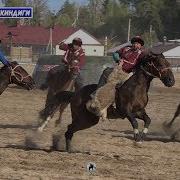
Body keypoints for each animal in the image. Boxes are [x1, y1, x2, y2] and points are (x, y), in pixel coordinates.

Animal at [39, 52, 176, 152]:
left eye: (168, 63)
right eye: (159, 64)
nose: (171, 81)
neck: (136, 87)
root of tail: (75, 94)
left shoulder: (139, 111)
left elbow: (148, 120)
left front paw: (141, 139)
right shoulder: (126, 111)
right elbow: (135, 122)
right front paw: (136, 139)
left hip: (88, 120)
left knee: (69, 130)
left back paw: (69, 149)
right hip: (84, 119)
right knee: (69, 129)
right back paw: (68, 149)